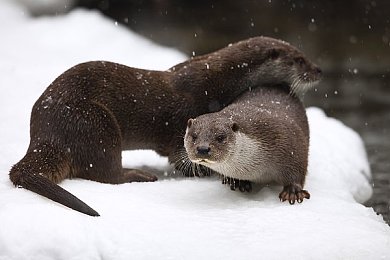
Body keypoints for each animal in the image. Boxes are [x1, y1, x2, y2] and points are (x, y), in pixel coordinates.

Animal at [183, 82, 320, 204]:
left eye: (220, 137)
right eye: (194, 136)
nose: (203, 149)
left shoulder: (290, 142)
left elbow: (298, 169)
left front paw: (293, 192)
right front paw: (238, 182)